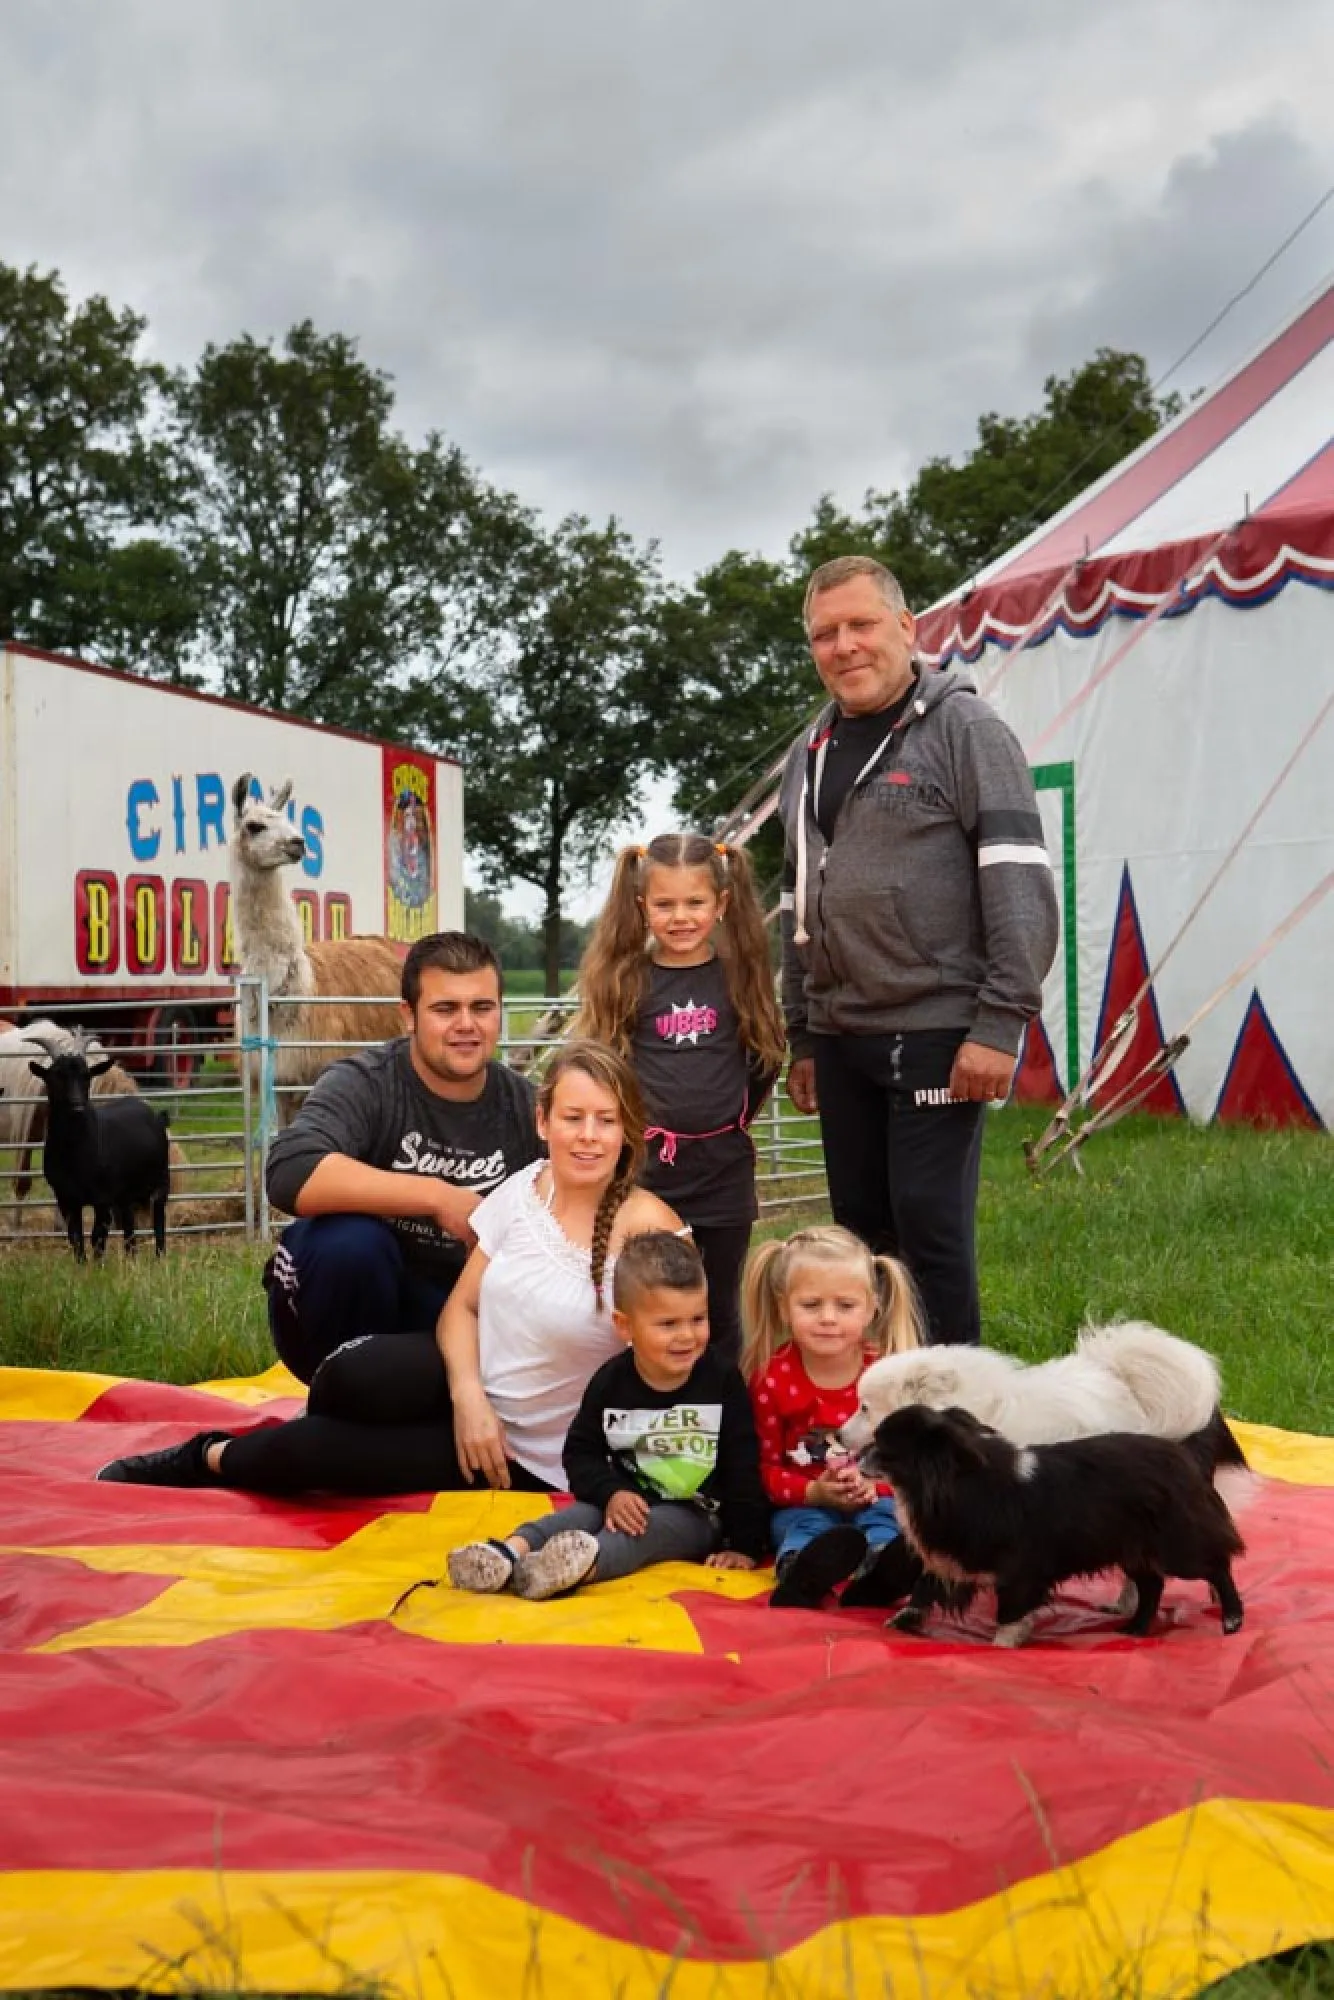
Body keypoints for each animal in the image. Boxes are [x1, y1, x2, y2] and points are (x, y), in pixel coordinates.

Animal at [28, 1056, 171, 1256]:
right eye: (55, 1077)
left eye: (87, 1077)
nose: (77, 1107)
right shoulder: (65, 1198)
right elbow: (76, 1238)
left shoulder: (103, 1198)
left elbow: (97, 1237)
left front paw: (98, 1264)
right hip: (125, 1193)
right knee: (129, 1224)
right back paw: (131, 1258)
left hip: (161, 1180)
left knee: (158, 1219)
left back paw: (159, 1256)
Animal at [860, 1400, 1248, 1648]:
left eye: (883, 1449)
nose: (857, 1454)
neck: (960, 1483)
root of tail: (1184, 1457)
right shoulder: (955, 1559)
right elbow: (924, 1589)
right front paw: (902, 1622)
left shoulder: (1020, 1573)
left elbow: (1010, 1614)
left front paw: (1001, 1648)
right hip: (1133, 1551)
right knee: (1152, 1586)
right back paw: (1135, 1630)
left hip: (1176, 1547)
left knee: (1216, 1566)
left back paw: (1231, 1620)